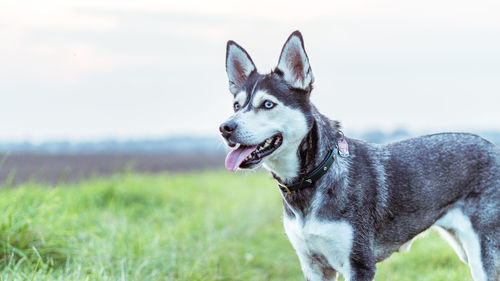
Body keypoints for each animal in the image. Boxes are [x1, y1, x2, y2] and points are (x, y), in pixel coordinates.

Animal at [220, 29, 500, 278]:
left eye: (268, 104)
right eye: (236, 105)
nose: (225, 128)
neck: (315, 175)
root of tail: (493, 147)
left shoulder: (358, 263)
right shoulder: (313, 266)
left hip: (484, 255)